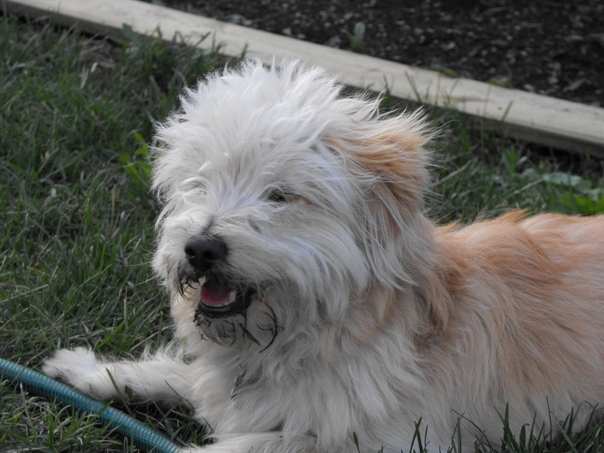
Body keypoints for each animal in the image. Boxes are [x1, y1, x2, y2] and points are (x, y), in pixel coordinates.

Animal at [44, 61, 604, 452]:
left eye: (279, 196)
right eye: (199, 184)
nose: (200, 248)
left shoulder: (396, 439)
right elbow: (183, 376)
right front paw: (89, 372)